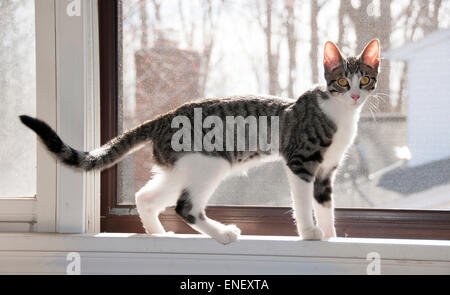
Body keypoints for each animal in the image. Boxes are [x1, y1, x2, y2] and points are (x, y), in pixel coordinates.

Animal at [20, 39, 380, 245]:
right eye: (342, 81)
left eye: (364, 78)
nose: (355, 94)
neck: (341, 115)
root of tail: (163, 117)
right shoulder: (301, 161)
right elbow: (304, 203)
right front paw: (309, 233)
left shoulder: (326, 171)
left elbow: (325, 205)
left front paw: (331, 236)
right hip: (211, 163)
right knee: (185, 206)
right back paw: (223, 234)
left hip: (182, 167)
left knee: (146, 196)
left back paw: (158, 234)